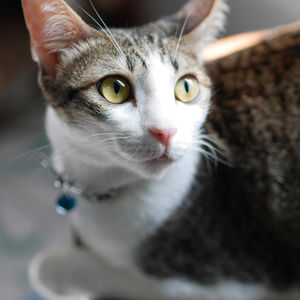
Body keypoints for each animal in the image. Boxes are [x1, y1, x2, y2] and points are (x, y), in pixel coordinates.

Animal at [21, 0, 300, 300]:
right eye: (115, 88)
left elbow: (137, 282)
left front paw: (58, 269)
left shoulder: (235, 273)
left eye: (186, 87)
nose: (165, 131)